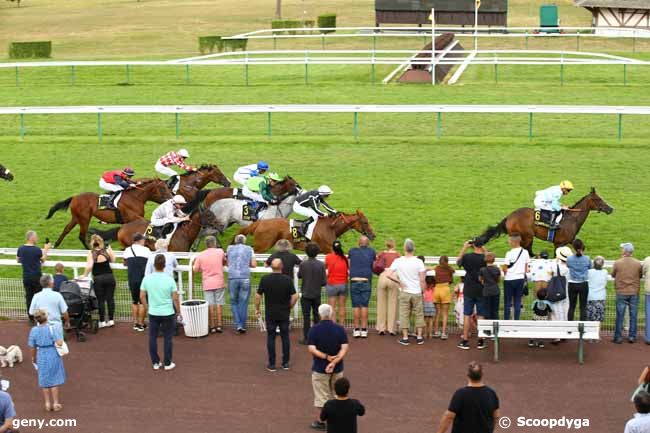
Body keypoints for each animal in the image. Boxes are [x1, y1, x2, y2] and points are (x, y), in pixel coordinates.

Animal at [234, 209, 374, 253]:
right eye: (365, 222)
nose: (373, 235)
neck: (330, 227)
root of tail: (259, 223)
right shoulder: (327, 249)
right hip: (263, 245)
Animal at [474, 187, 612, 255]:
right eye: (598, 199)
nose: (611, 209)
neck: (571, 219)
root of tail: (509, 217)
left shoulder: (569, 240)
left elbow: (580, 246)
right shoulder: (560, 243)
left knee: (528, 251)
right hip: (526, 236)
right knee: (525, 250)